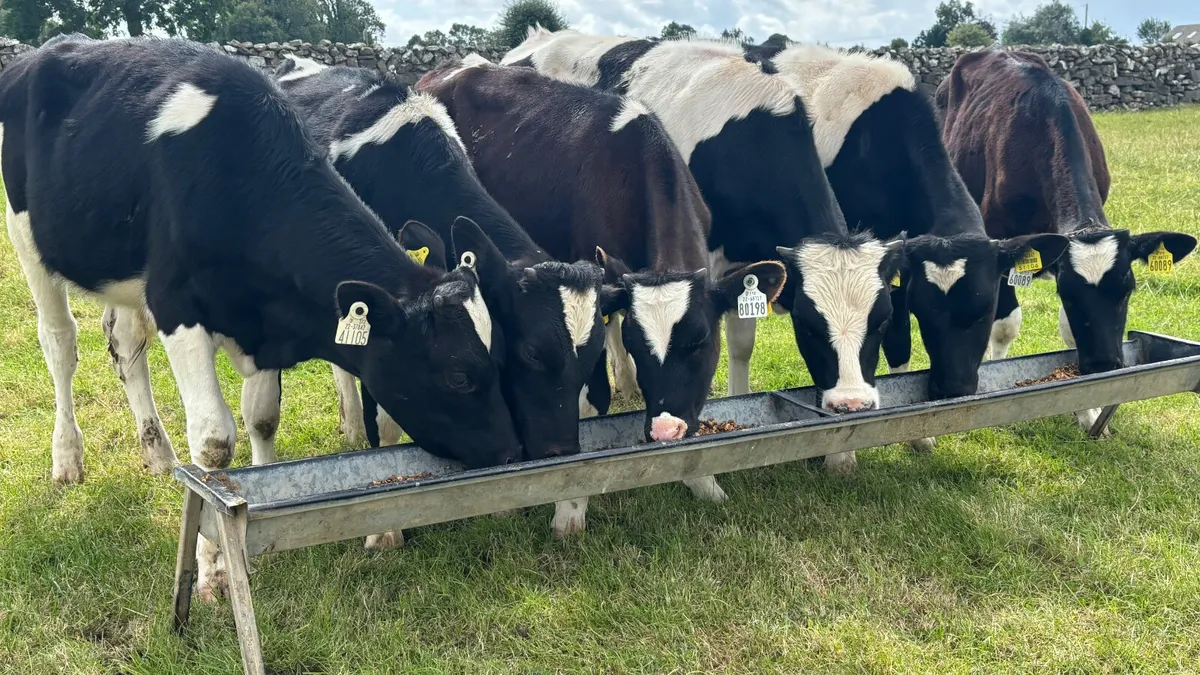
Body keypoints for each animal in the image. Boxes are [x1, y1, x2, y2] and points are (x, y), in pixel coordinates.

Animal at [0, 37, 521, 600]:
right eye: (459, 376)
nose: (511, 450)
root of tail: (49, 50)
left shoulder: (267, 316)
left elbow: (263, 415)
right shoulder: (175, 304)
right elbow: (213, 443)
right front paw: (213, 569)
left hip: (122, 275)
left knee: (124, 345)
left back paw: (157, 453)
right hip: (28, 237)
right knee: (60, 343)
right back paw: (67, 459)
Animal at [417, 56, 787, 534]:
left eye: (701, 342)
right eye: (638, 344)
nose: (664, 432)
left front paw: (702, 480)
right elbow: (587, 400)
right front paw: (569, 507)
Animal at [503, 28, 906, 473]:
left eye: (883, 319)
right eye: (808, 324)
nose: (852, 404)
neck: (751, 138)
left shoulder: (748, 263)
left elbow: (743, 343)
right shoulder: (711, 259)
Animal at [936, 49, 1196, 431]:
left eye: (1128, 290)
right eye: (1069, 295)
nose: (1104, 365)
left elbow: (1068, 332)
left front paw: (1088, 411)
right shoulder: (1001, 241)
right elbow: (1004, 325)